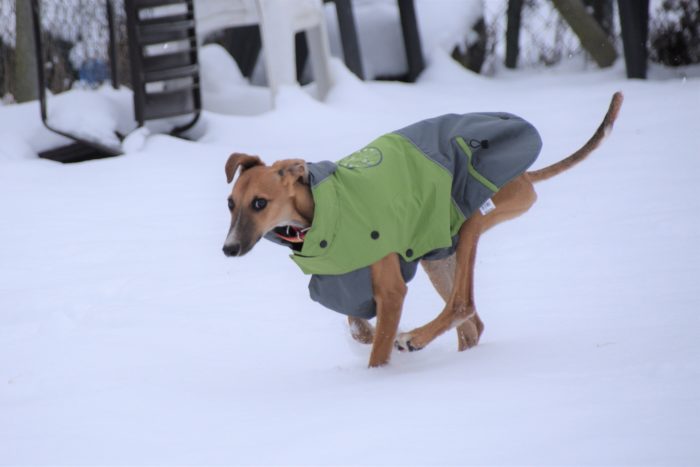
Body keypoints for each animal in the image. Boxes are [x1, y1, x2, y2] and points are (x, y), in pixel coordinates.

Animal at [222, 92, 623, 368]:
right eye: (231, 203)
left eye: (260, 203)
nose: (229, 249)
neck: (324, 212)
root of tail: (525, 175)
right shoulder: (347, 283)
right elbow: (359, 325)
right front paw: (367, 338)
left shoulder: (391, 291)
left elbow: (379, 347)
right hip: (437, 253)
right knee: (472, 325)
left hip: (471, 219)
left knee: (463, 304)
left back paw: (415, 339)